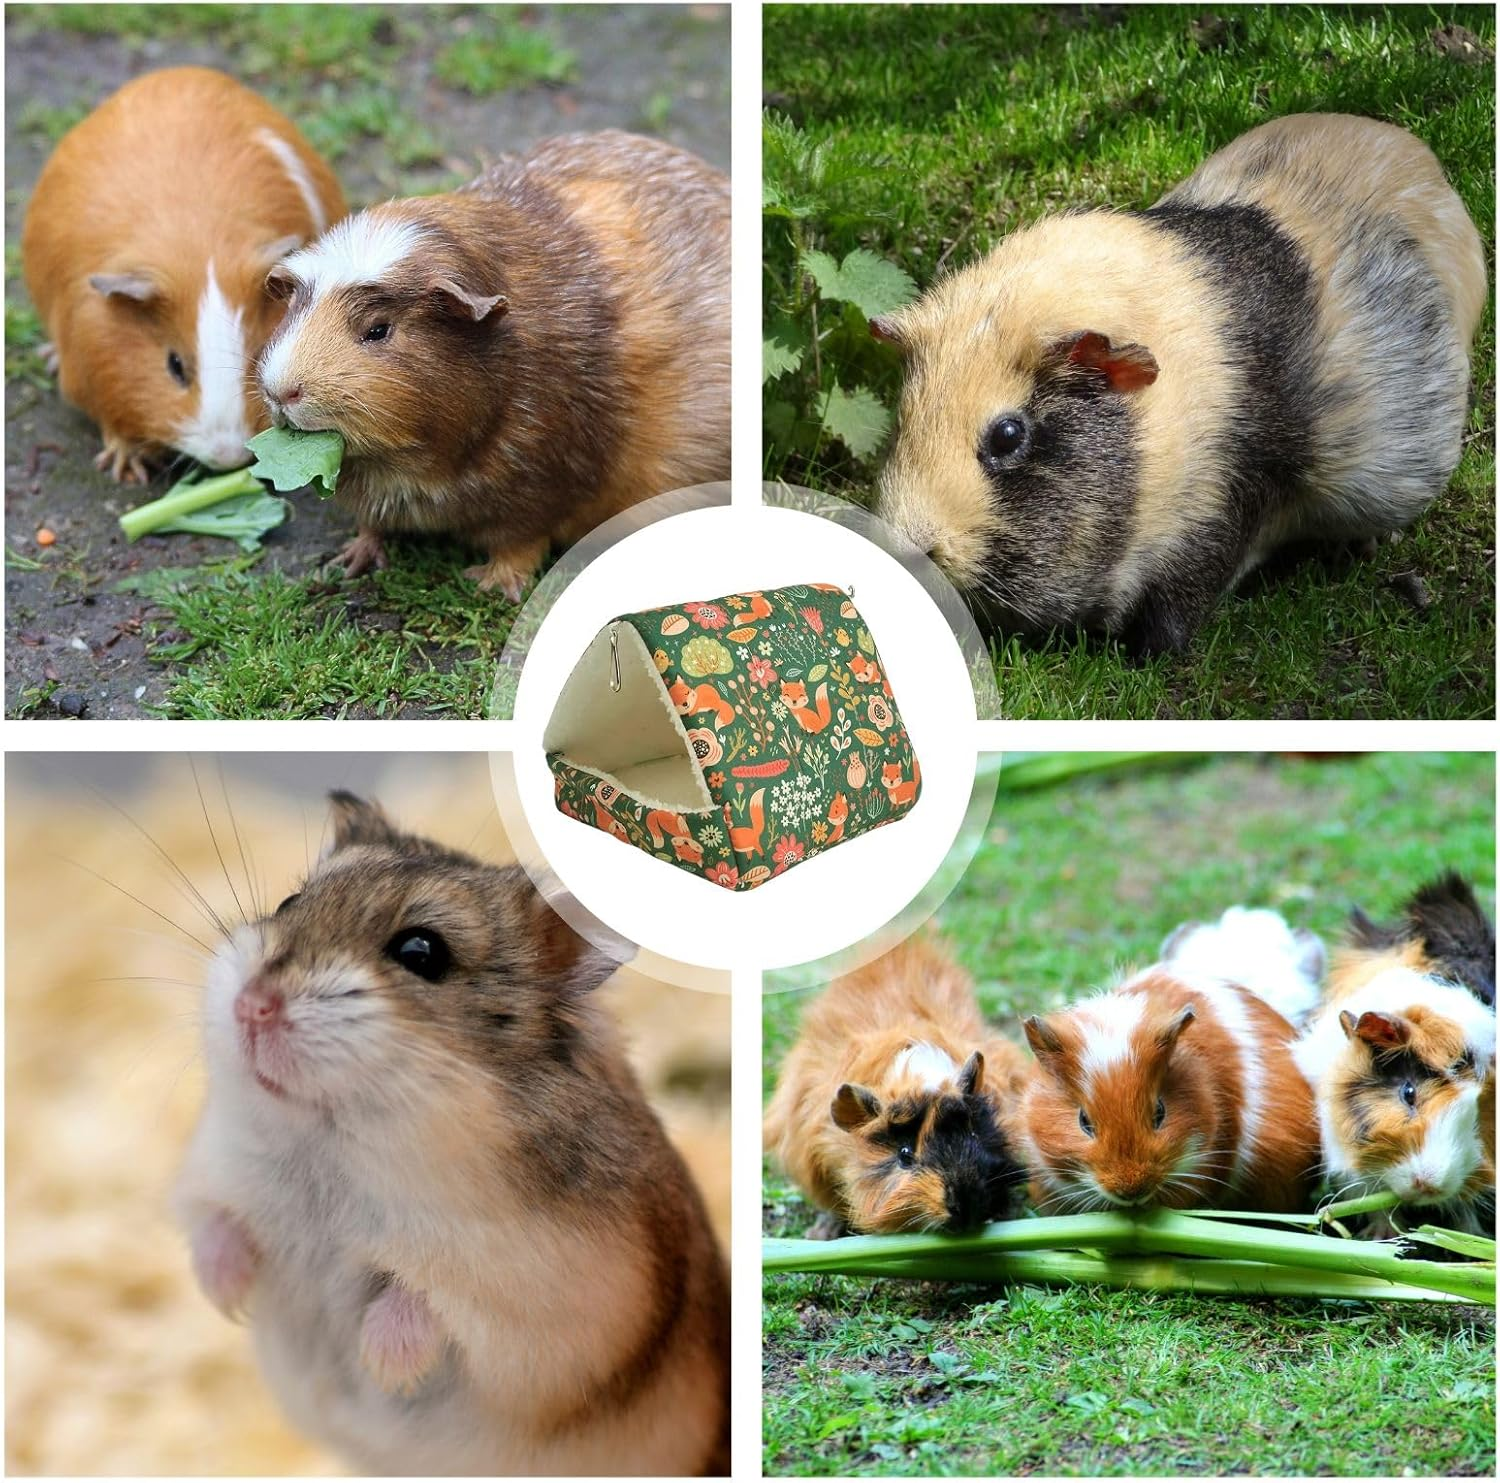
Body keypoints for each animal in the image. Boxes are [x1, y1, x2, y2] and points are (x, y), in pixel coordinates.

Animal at [21, 67, 345, 482]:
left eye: (258, 354)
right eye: (174, 366)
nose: (228, 456)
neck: (198, 247)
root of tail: (177, 72)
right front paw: (127, 468)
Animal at [173, 793, 729, 1476]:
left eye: (421, 952)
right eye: (287, 904)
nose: (252, 1006)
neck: (327, 1146)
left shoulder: (541, 1309)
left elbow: (421, 1302)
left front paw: (384, 1367)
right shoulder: (209, 1174)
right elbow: (213, 1225)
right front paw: (230, 1301)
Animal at [256, 130, 730, 598]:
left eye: (378, 330)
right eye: (294, 309)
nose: (281, 391)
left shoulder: (537, 490)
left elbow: (519, 545)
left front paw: (490, 585)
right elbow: (371, 524)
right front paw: (349, 563)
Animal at [872, 113, 1487, 654]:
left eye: (1007, 435)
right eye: (904, 415)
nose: (912, 543)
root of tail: (1421, 161)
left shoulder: (1218, 514)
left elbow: (1182, 599)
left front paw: (1147, 654)